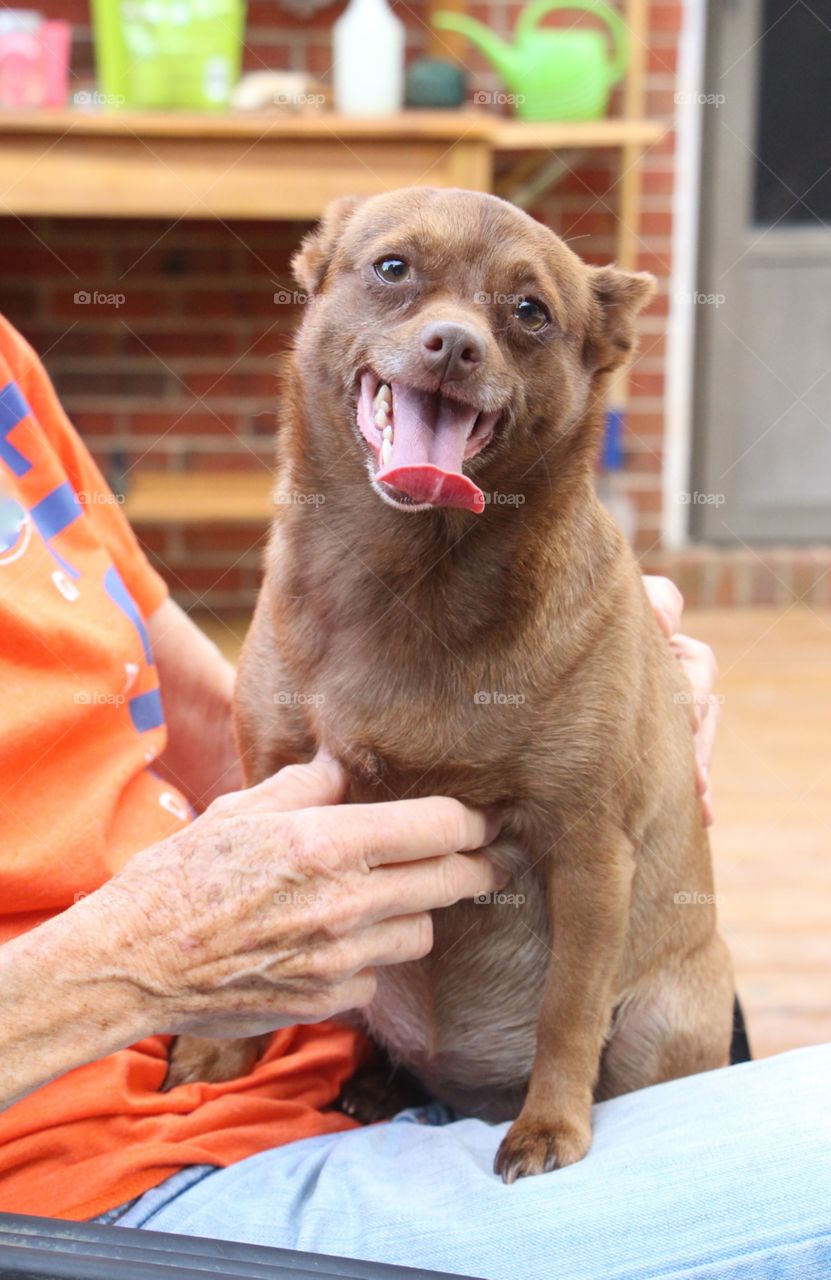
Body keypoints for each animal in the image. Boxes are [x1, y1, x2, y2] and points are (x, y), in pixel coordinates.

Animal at [163, 186, 732, 1177]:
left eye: (530, 313)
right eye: (393, 269)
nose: (454, 345)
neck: (407, 576)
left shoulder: (589, 853)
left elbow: (567, 1009)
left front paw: (551, 1127)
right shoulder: (272, 785)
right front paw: (216, 1050)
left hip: (657, 1023)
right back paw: (380, 1084)